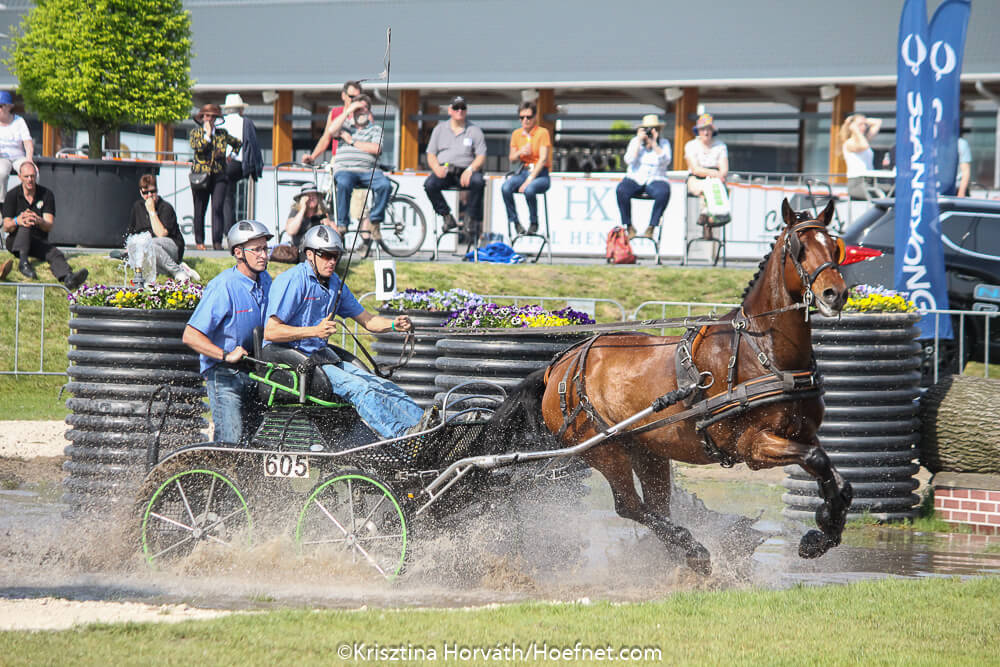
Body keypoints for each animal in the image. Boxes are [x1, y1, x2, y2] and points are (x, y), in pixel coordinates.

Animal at [481, 199, 852, 575]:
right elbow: (818, 460)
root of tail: (559, 366)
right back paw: (693, 550)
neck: (760, 350)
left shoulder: (802, 435)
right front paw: (820, 532)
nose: (834, 293)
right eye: (798, 248)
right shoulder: (753, 445)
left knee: (656, 506)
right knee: (629, 506)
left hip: (648, 451)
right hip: (604, 449)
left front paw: (823, 534)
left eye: (835, 246)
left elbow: (837, 479)